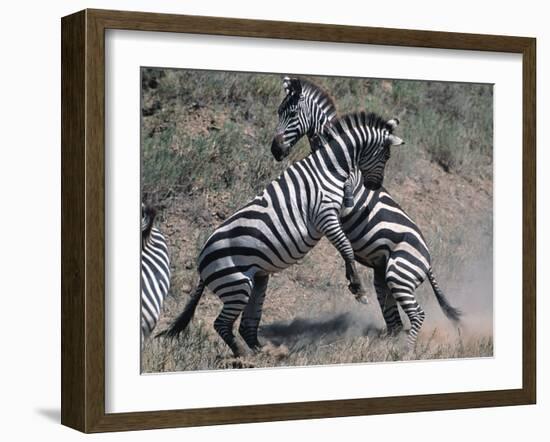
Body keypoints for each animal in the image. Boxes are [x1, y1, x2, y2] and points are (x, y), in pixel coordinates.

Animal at [160, 110, 406, 356]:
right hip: (236, 285)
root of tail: (201, 262)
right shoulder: (324, 215)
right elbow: (346, 248)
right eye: (386, 156)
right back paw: (244, 356)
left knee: (246, 324)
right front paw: (358, 288)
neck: (329, 167)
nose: (375, 186)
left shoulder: (335, 212)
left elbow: (347, 226)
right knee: (221, 324)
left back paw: (262, 352)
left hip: (256, 280)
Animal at [270, 76, 462, 348]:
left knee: (415, 314)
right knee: (394, 320)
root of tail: (428, 261)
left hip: (399, 274)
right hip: (384, 276)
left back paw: (404, 351)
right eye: (279, 112)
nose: (275, 150)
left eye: (294, 114)